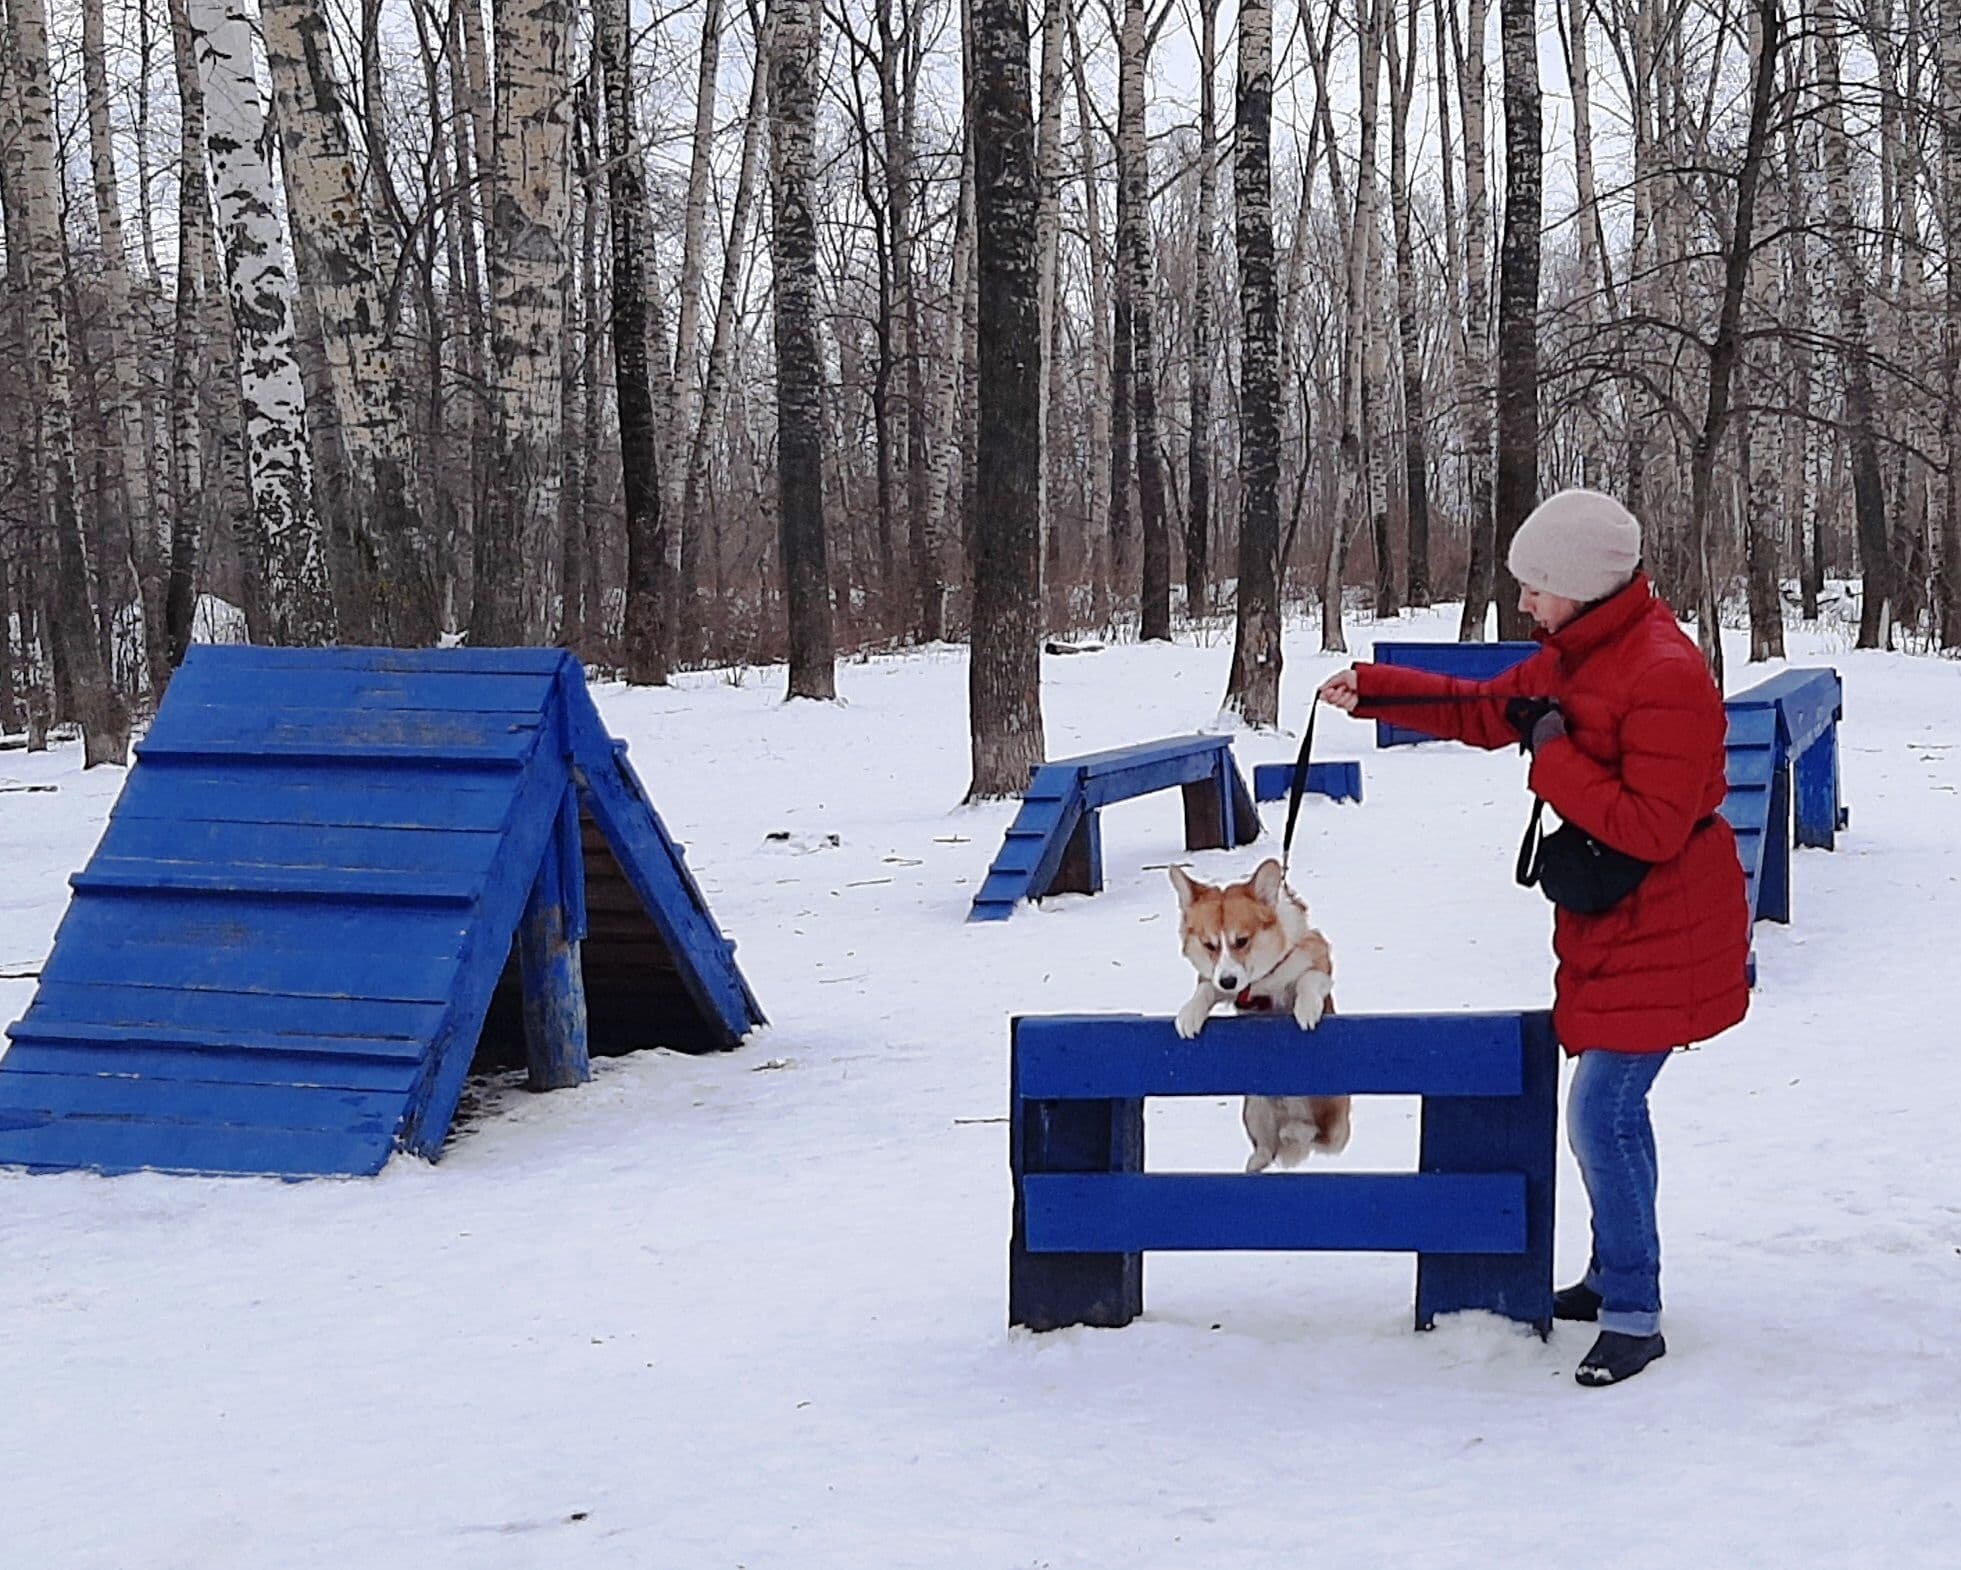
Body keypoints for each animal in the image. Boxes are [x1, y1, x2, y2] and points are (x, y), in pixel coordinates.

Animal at [1160, 850, 1349, 1168]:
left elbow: (1308, 979)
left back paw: (1297, 1132)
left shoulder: (1318, 959)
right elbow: (1205, 988)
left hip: (1334, 1120)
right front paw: (1189, 1015)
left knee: (1319, 1138)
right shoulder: (1218, 981)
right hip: (1255, 1108)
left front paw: (1306, 1010)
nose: (1228, 980)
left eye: (1241, 941)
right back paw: (1259, 1159)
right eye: (1209, 945)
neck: (1261, 980)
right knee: (1267, 1149)